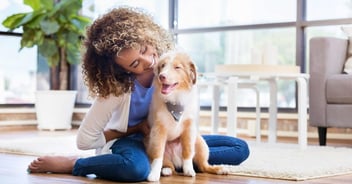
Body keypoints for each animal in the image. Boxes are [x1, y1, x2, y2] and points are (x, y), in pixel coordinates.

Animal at [146, 50, 228, 181]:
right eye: (163, 66)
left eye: (177, 67)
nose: (161, 76)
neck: (175, 100)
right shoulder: (158, 129)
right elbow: (158, 155)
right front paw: (153, 174)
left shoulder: (189, 128)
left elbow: (188, 151)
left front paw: (189, 170)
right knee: (168, 164)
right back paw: (166, 170)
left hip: (200, 143)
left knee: (203, 166)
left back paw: (220, 169)